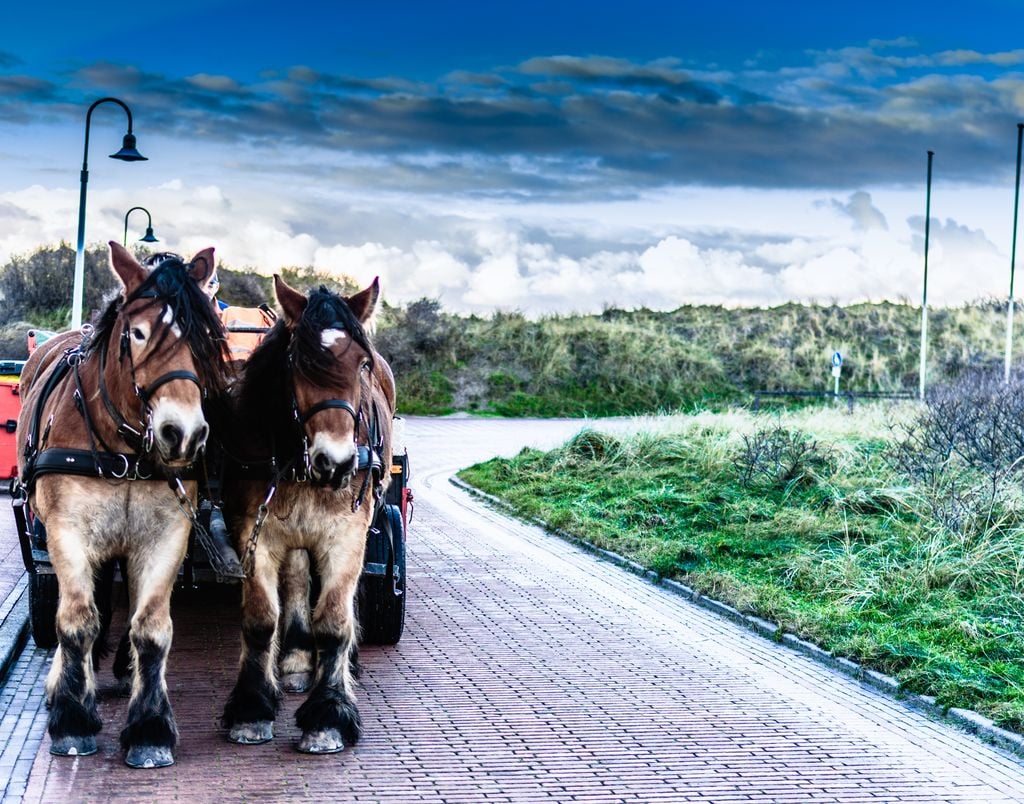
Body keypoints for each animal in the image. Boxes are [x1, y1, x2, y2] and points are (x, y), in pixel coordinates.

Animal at [16, 243, 229, 768]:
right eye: (137, 333)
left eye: (206, 338)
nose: (183, 432)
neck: (123, 451)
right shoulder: (66, 531)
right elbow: (75, 620)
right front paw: (73, 719)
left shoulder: (167, 534)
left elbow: (150, 626)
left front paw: (150, 729)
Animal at [220, 275, 395, 754]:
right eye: (299, 363)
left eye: (362, 365)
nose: (336, 462)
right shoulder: (253, 531)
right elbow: (261, 618)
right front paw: (252, 708)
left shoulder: (348, 532)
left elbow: (333, 621)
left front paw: (329, 715)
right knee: (297, 579)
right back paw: (298, 659)